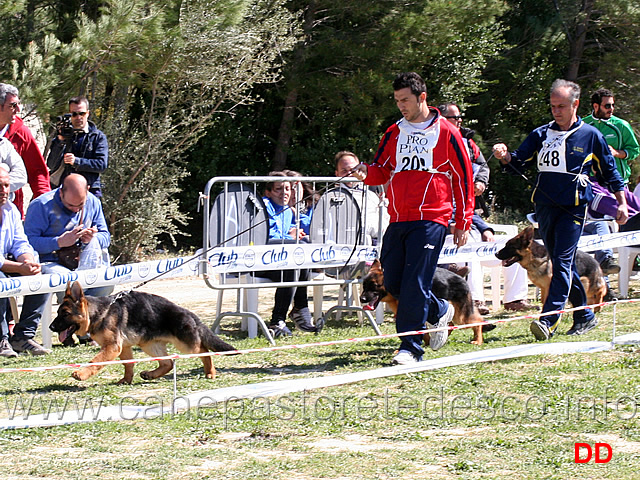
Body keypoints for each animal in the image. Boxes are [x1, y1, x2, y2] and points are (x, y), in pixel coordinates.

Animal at [48, 284, 236, 384]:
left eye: (65, 314)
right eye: (57, 313)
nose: (51, 327)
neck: (100, 312)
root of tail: (190, 314)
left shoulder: (112, 347)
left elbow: (95, 361)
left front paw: (81, 374)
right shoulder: (123, 348)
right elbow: (128, 364)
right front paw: (126, 380)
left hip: (186, 345)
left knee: (204, 351)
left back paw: (210, 372)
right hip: (149, 345)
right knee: (168, 363)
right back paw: (151, 374)